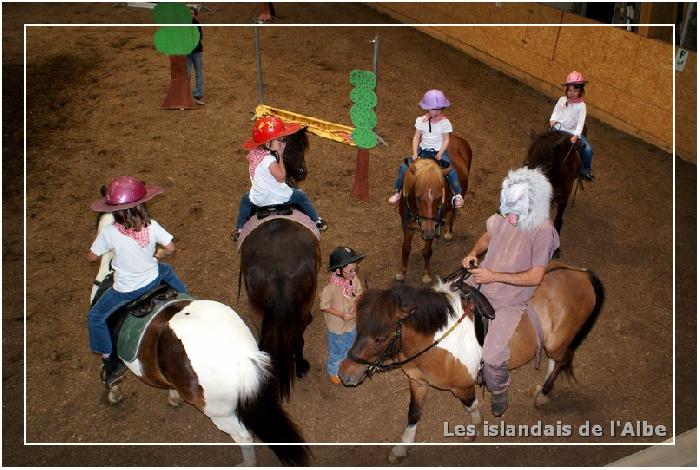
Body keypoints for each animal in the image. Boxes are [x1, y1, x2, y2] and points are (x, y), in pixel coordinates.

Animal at [340, 260, 600, 462]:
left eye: (381, 337)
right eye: (358, 326)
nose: (345, 373)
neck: (435, 340)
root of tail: (581, 273)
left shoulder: (463, 386)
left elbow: (471, 406)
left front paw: (474, 428)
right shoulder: (417, 382)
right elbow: (413, 414)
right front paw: (401, 449)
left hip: (558, 342)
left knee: (563, 360)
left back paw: (543, 394)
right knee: (554, 362)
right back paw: (541, 388)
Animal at [396, 134, 474, 284]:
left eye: (439, 197)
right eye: (418, 196)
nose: (427, 231)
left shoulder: (433, 224)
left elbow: (427, 252)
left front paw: (426, 275)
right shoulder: (408, 224)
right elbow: (406, 248)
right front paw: (401, 272)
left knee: (452, 210)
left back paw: (448, 231)